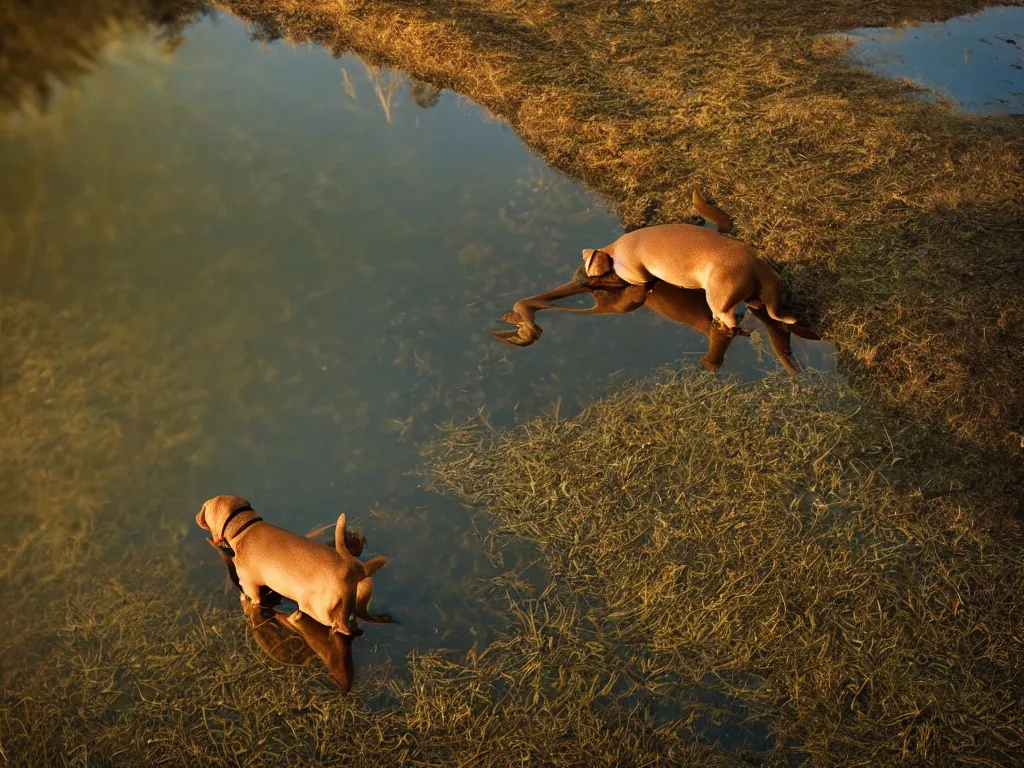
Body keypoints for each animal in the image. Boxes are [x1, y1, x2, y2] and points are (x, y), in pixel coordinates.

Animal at [197, 499, 389, 638]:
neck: (246, 528)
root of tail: (350, 566)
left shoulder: (250, 586)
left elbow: (251, 599)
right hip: (358, 593)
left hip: (320, 610)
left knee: (342, 627)